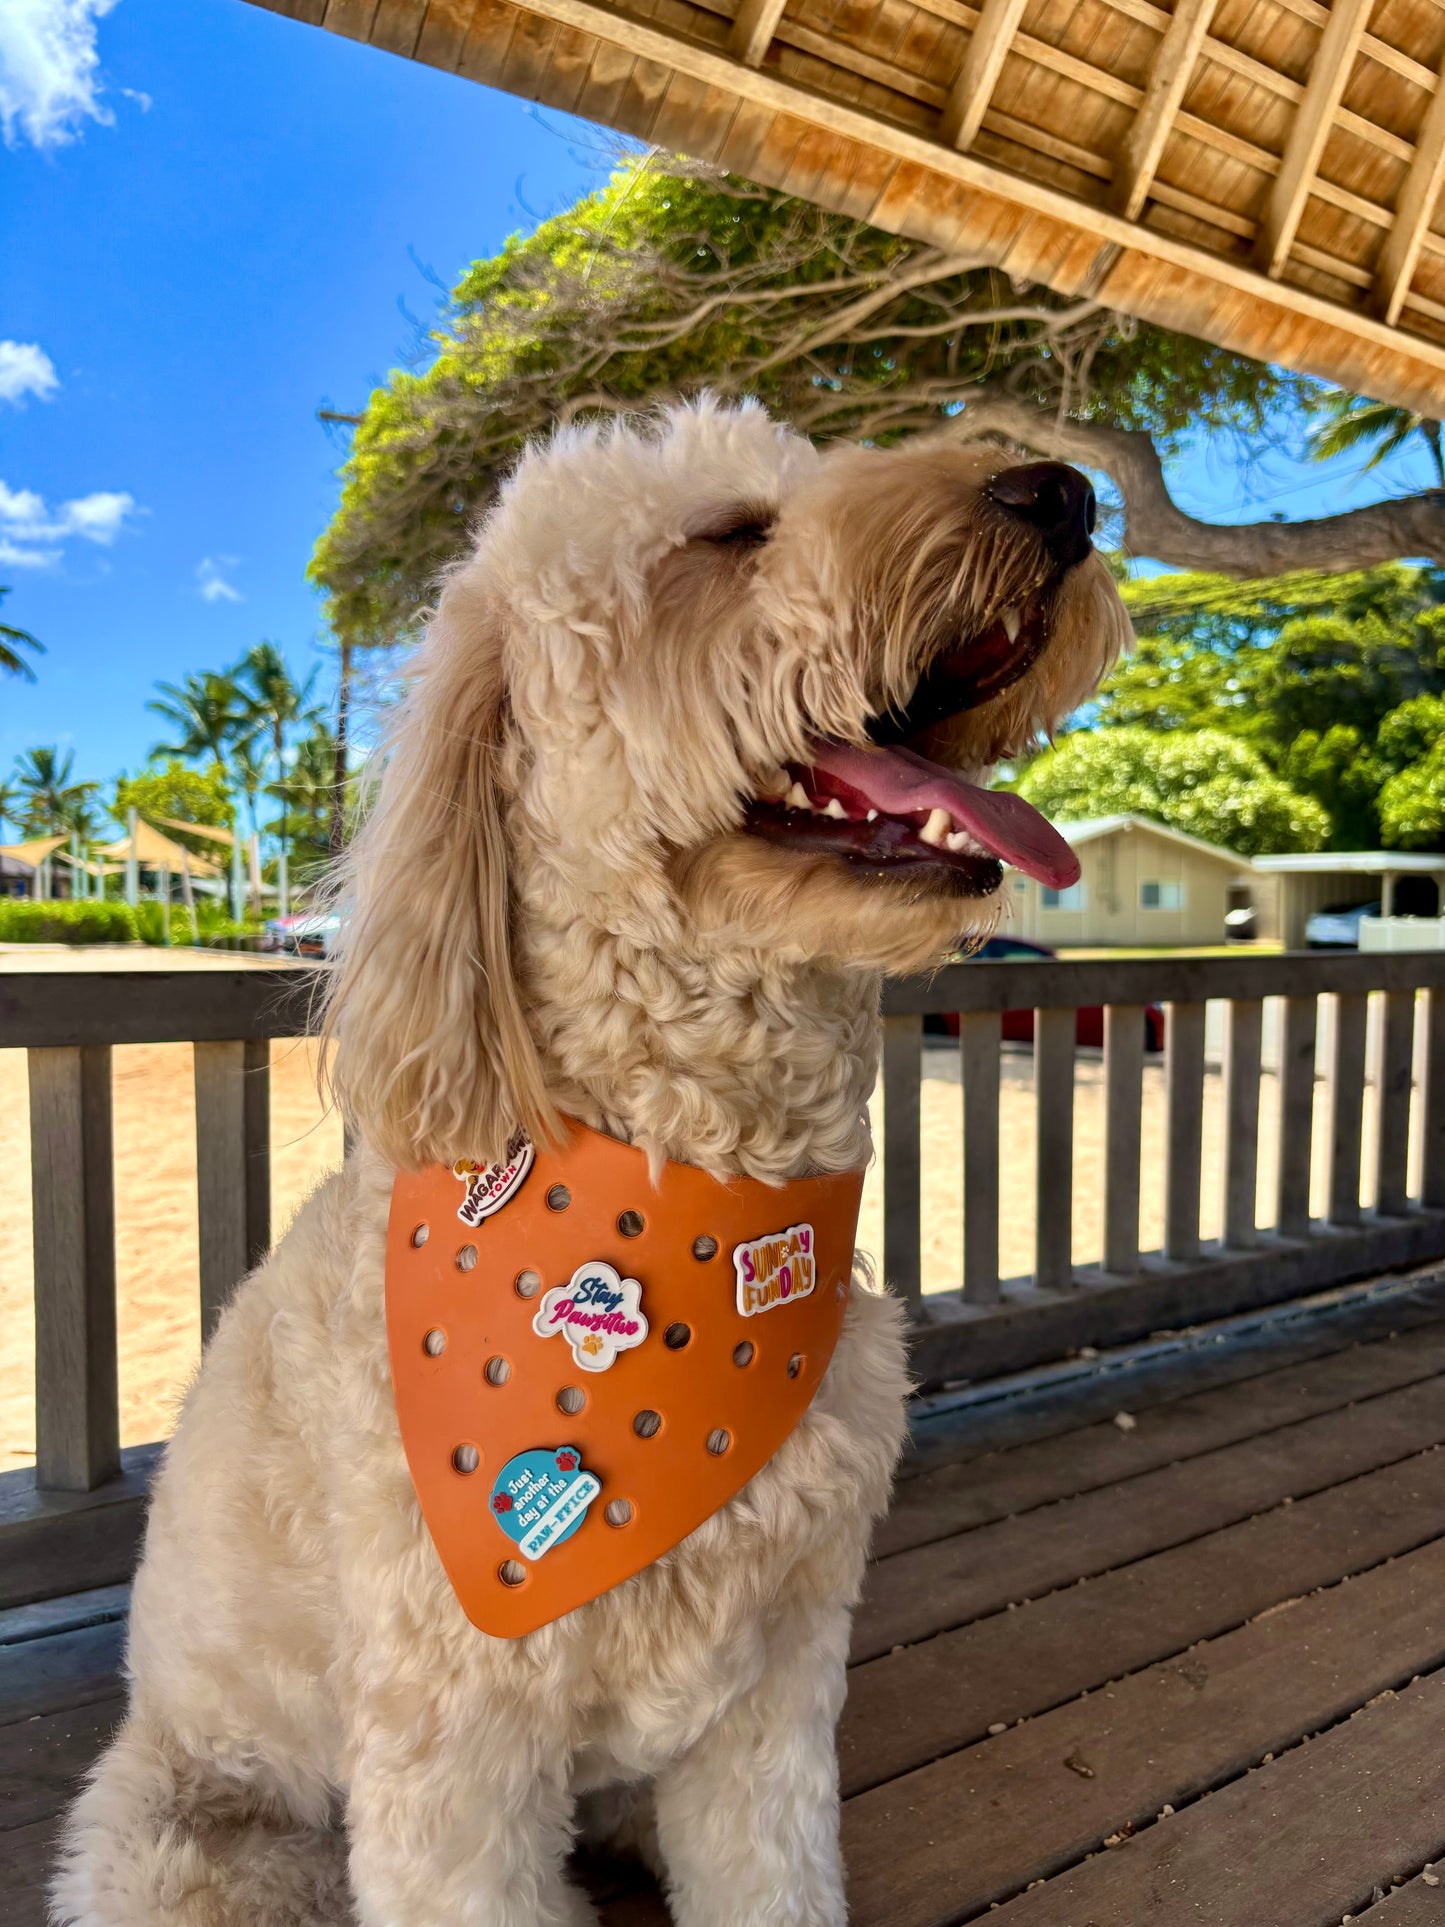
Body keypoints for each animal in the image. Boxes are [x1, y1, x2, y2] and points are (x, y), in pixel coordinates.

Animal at [56, 402, 1132, 1927]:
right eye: (728, 535)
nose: (1064, 492)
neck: (703, 1191)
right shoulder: (453, 1740)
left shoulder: (774, 1688)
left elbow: (768, 1873)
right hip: (193, 1847)